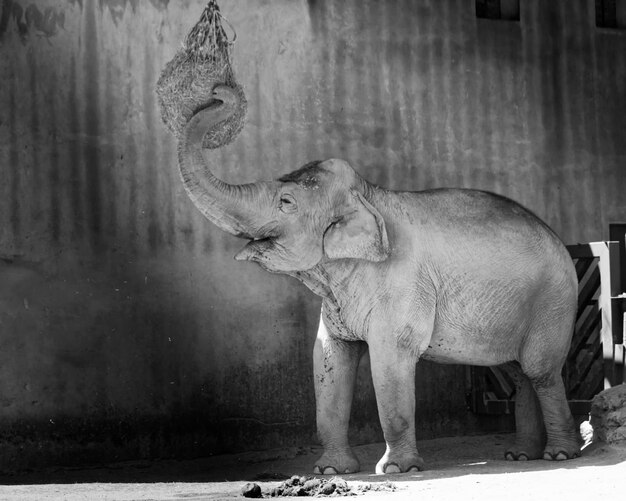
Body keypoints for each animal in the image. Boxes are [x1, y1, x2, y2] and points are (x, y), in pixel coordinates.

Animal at [177, 85, 580, 472]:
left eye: (286, 202)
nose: (219, 92)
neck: (371, 194)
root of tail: (560, 241)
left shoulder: (403, 283)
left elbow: (390, 358)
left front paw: (397, 469)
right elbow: (328, 358)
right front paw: (330, 471)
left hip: (553, 302)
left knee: (541, 371)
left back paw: (559, 455)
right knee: (517, 373)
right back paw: (521, 456)